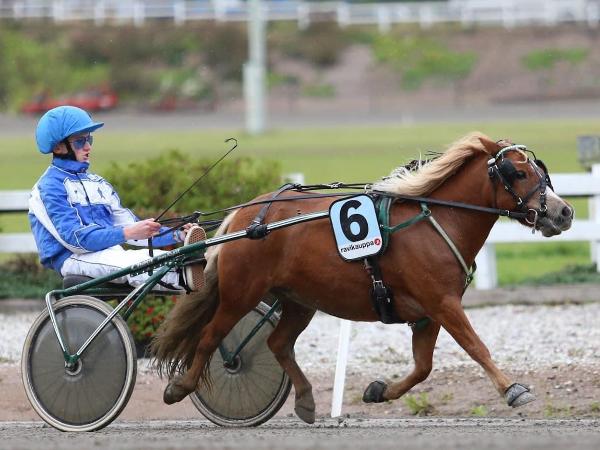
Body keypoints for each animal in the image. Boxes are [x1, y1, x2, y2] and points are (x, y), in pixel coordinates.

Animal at [152, 132, 573, 423]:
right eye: (519, 172)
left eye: (541, 170)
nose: (564, 212)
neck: (436, 219)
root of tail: (245, 215)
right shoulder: (443, 303)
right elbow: (476, 347)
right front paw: (513, 389)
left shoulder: (428, 313)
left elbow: (423, 367)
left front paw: (379, 390)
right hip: (242, 292)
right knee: (211, 337)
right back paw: (180, 387)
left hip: (299, 300)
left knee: (277, 342)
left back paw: (305, 399)